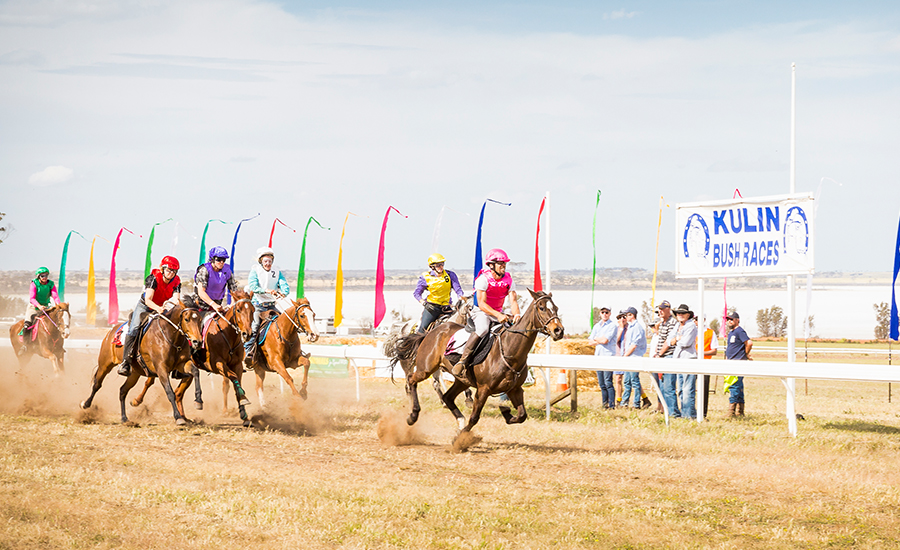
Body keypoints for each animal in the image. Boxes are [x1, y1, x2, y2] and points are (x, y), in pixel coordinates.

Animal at [394, 288, 564, 440]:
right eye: (542, 308)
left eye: (555, 308)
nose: (559, 331)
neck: (509, 351)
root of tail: (431, 331)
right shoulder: (483, 389)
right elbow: (475, 417)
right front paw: (460, 439)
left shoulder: (514, 389)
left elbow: (522, 415)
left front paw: (506, 412)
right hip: (426, 368)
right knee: (411, 380)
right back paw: (413, 415)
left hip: (461, 380)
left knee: (448, 397)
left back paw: (459, 421)